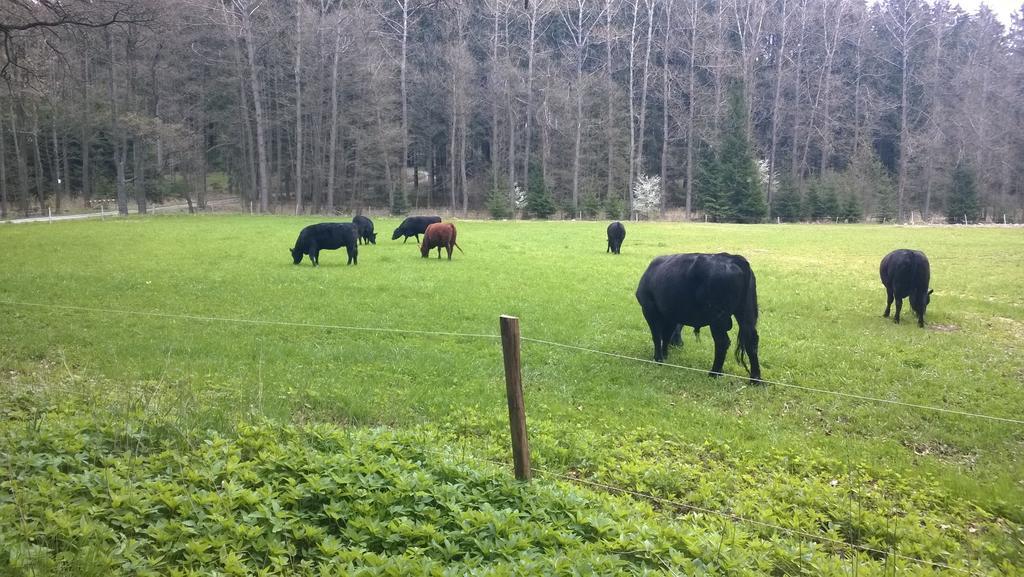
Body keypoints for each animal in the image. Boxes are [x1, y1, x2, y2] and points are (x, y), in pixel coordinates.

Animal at [630, 254, 761, 381]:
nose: (679, 344)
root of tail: (734, 258)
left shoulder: (649, 309)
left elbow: (657, 336)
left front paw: (658, 359)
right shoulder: (671, 316)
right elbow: (666, 335)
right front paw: (665, 355)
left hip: (718, 318)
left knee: (722, 342)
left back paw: (714, 373)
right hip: (746, 313)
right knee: (751, 341)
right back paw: (755, 379)